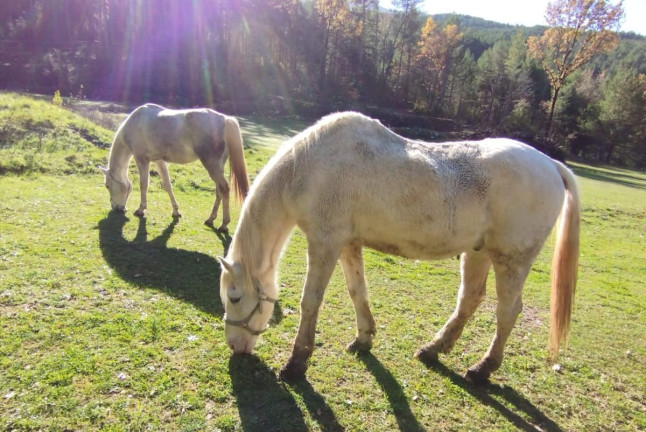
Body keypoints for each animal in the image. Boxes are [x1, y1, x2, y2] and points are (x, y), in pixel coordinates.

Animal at [99, 103, 249, 231]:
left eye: (107, 186)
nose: (116, 208)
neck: (134, 123)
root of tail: (224, 119)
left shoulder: (142, 160)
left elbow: (143, 184)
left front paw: (141, 210)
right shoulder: (159, 161)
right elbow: (167, 185)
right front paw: (176, 211)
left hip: (212, 165)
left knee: (224, 189)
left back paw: (224, 224)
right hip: (218, 167)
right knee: (219, 191)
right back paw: (210, 219)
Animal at [218, 111, 580, 385]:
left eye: (234, 298)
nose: (235, 346)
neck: (311, 167)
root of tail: (550, 164)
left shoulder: (325, 242)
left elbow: (311, 302)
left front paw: (296, 364)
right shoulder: (348, 244)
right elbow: (357, 291)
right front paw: (364, 338)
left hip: (511, 260)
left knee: (508, 311)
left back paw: (482, 369)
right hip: (478, 253)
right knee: (470, 299)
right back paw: (434, 349)